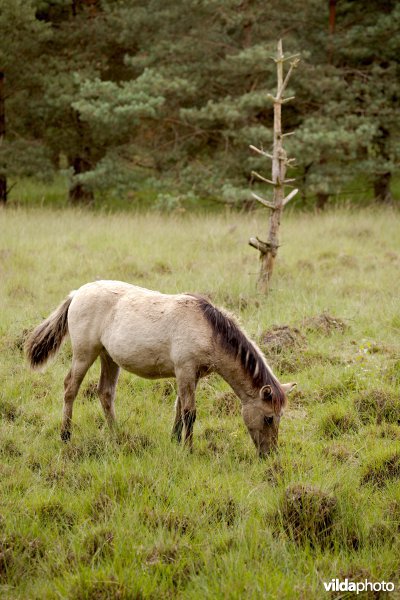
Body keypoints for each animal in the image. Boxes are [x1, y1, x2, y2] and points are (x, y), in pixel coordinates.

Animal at [24, 280, 294, 454]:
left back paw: (116, 435)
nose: (270, 455)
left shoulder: (190, 375)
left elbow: (178, 408)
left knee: (105, 393)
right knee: (70, 389)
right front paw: (188, 450)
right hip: (84, 354)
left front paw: (175, 441)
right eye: (269, 418)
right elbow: (189, 413)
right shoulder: (185, 371)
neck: (208, 329)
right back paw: (65, 436)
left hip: (108, 357)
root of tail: (78, 293)